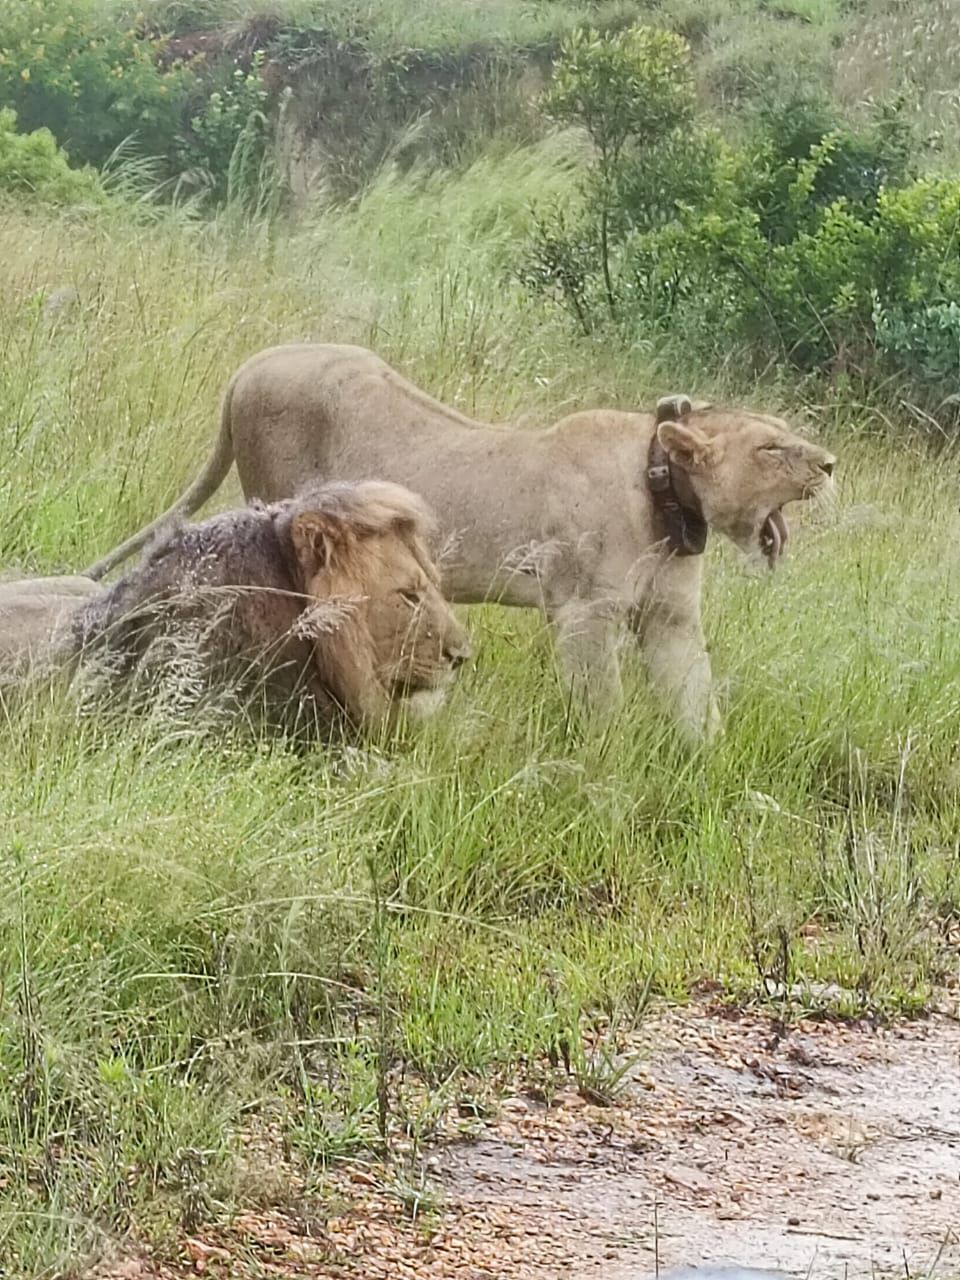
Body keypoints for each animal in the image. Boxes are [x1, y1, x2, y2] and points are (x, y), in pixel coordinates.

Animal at [84, 340, 834, 742]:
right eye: (771, 448)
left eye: (785, 433)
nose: (829, 463)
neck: (666, 500)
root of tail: (248, 368)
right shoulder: (581, 615)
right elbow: (604, 704)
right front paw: (612, 762)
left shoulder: (671, 617)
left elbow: (696, 699)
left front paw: (715, 767)